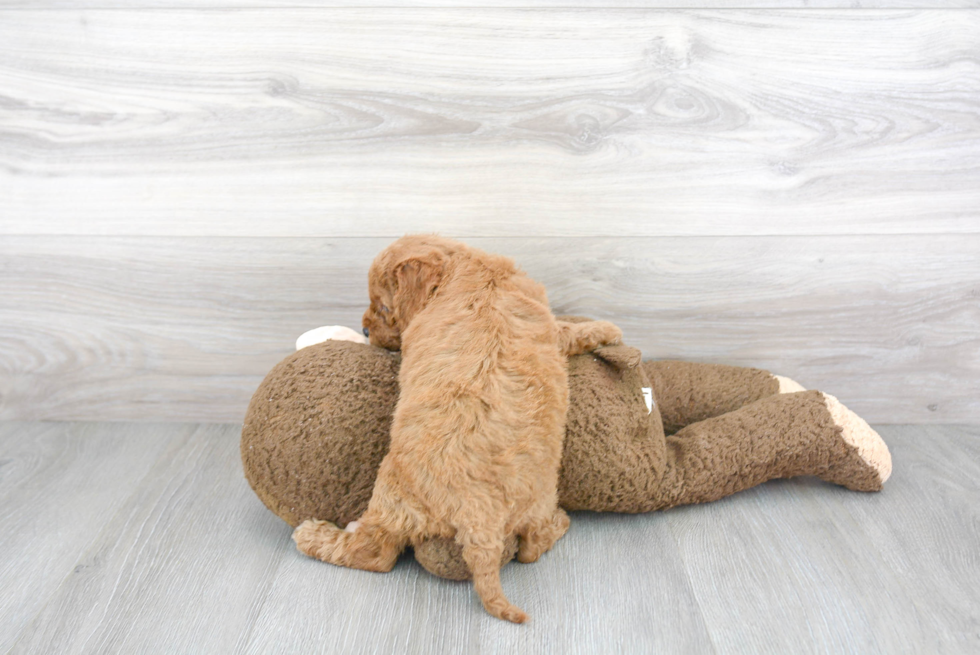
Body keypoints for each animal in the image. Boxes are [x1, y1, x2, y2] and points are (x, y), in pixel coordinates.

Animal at [290, 236, 624, 624]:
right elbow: (567, 330)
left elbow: (568, 330)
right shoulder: (544, 321)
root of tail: (478, 517)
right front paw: (609, 330)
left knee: (373, 554)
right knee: (529, 548)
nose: (365, 330)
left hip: (391, 493)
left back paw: (312, 535)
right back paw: (559, 523)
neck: (466, 266)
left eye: (384, 306)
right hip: (536, 499)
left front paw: (608, 330)